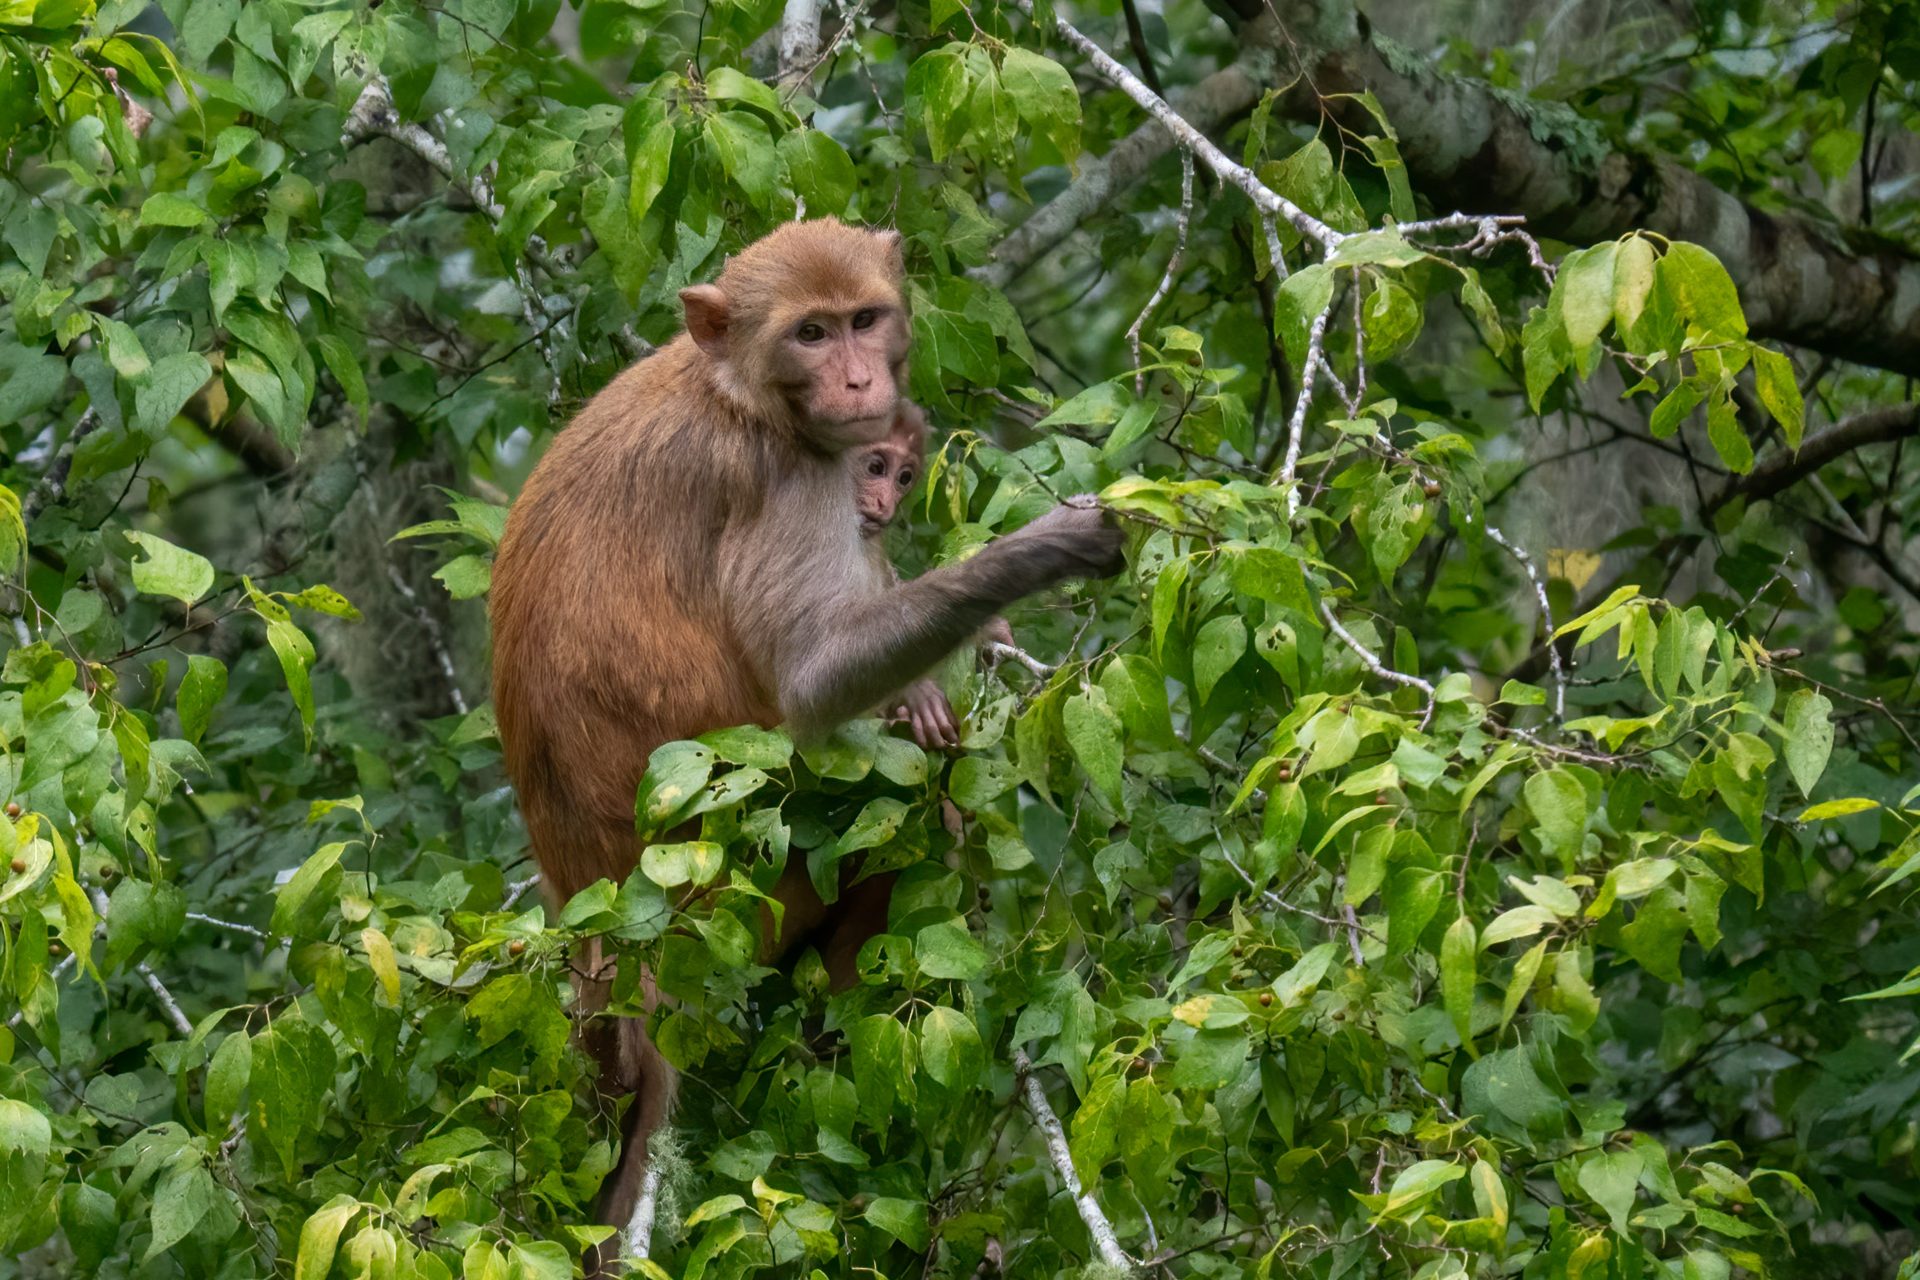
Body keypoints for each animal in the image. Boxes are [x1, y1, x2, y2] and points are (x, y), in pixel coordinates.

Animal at [487, 217, 1125, 1265]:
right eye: (811, 334)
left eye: (865, 319)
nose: (862, 383)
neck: (733, 388)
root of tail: (613, 921)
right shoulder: (788, 478)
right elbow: (813, 679)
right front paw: (1041, 554)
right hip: (752, 901)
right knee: (904, 823)